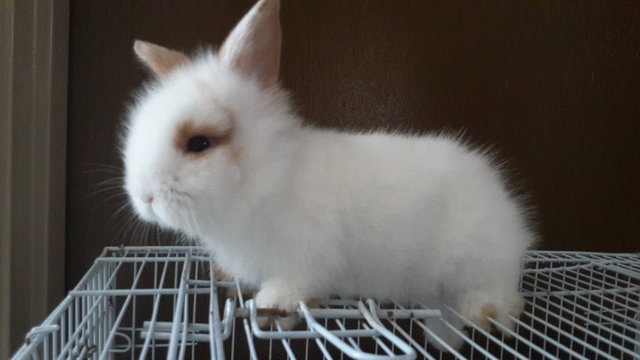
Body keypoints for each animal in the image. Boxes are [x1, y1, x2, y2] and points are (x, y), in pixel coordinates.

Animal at [121, 0, 536, 350]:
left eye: (199, 142)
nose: (145, 198)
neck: (270, 179)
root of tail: (512, 222)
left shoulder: (305, 261)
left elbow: (290, 290)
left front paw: (270, 310)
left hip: (478, 261)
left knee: (503, 297)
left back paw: (485, 314)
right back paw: (441, 340)